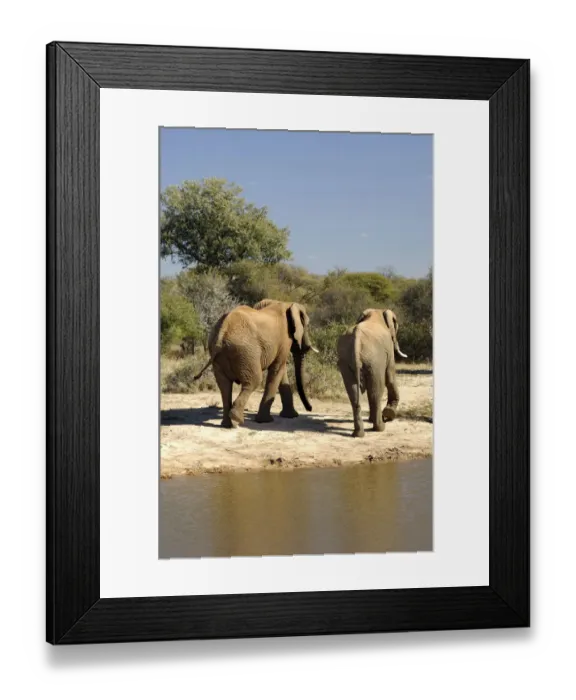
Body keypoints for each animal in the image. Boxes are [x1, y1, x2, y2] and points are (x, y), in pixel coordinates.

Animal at [193, 299, 318, 428]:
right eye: (306, 325)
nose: (310, 408)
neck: (286, 304)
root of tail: (223, 329)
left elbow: (280, 370)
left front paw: (290, 416)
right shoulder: (285, 338)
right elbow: (278, 368)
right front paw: (265, 421)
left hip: (220, 353)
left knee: (224, 386)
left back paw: (228, 424)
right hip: (246, 351)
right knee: (254, 380)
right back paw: (237, 419)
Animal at [337, 309, 407, 438]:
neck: (376, 312)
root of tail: (357, 338)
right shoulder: (389, 349)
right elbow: (390, 377)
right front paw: (389, 414)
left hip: (345, 359)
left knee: (354, 394)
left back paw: (358, 433)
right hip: (375, 359)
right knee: (376, 391)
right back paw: (380, 428)